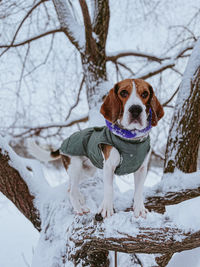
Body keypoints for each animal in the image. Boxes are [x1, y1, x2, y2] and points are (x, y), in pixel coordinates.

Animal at [28, 79, 164, 220]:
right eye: (123, 92)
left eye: (145, 94)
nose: (136, 109)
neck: (131, 139)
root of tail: (62, 145)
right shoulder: (109, 167)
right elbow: (109, 189)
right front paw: (106, 209)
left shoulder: (141, 169)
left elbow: (138, 191)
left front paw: (139, 210)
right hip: (75, 166)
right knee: (71, 191)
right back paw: (79, 209)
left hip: (87, 171)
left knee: (70, 187)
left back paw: (79, 199)